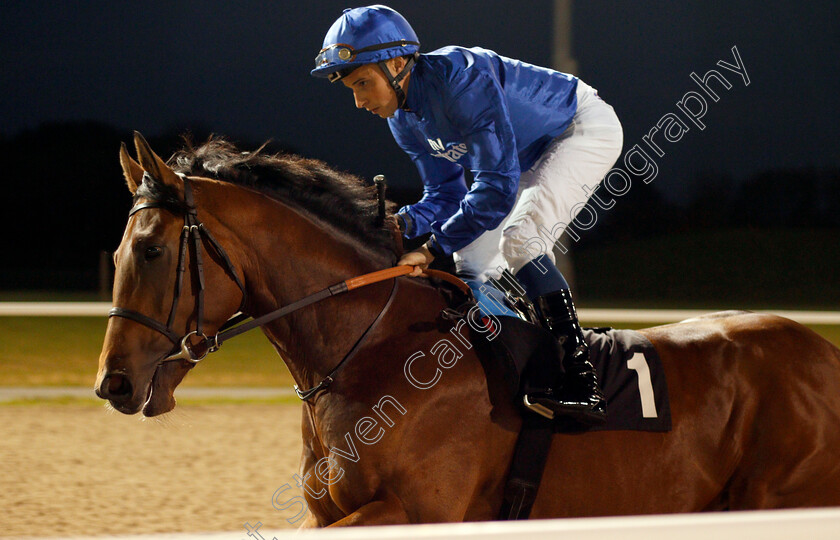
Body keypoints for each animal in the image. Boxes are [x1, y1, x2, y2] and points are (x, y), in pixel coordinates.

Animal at [95, 133, 840, 524]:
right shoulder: (328, 510)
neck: (373, 348)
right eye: (118, 252)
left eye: (152, 251)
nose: (113, 384)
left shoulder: (415, 511)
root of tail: (823, 355)